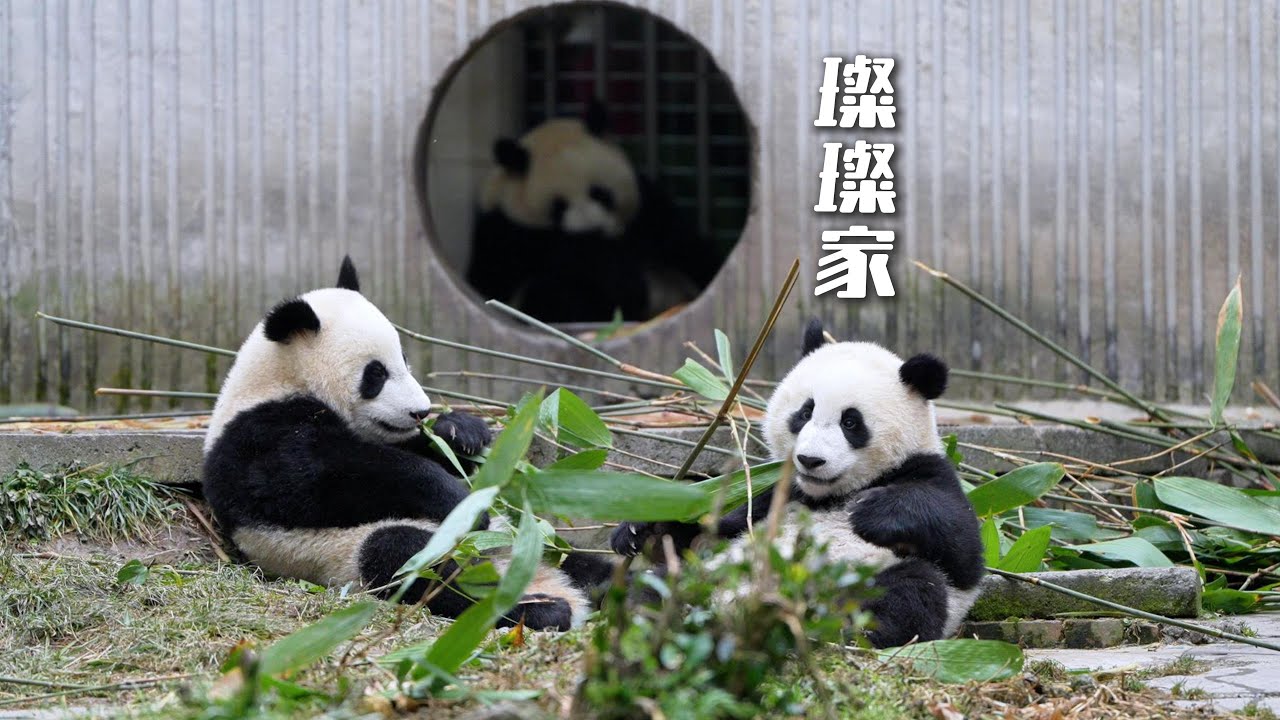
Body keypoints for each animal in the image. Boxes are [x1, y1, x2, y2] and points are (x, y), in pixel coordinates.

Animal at [202, 256, 614, 631]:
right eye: (376, 374)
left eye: (403, 358)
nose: (421, 411)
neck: (281, 379)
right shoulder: (258, 435)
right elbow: (316, 478)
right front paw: (461, 502)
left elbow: (419, 450)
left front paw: (461, 432)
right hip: (350, 552)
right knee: (411, 560)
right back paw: (539, 609)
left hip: (529, 539)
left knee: (578, 561)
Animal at [467, 100, 718, 323]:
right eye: (559, 206)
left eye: (600, 193)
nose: (594, 230)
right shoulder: (505, 230)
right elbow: (491, 277)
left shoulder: (647, 208)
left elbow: (682, 243)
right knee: (552, 293)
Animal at [610, 319, 985, 648]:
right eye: (805, 412)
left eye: (851, 422)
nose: (810, 460)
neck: (829, 495)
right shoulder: (775, 497)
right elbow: (708, 531)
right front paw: (637, 530)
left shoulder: (928, 471)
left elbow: (962, 547)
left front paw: (874, 511)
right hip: (706, 576)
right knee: (654, 588)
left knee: (912, 590)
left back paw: (839, 632)